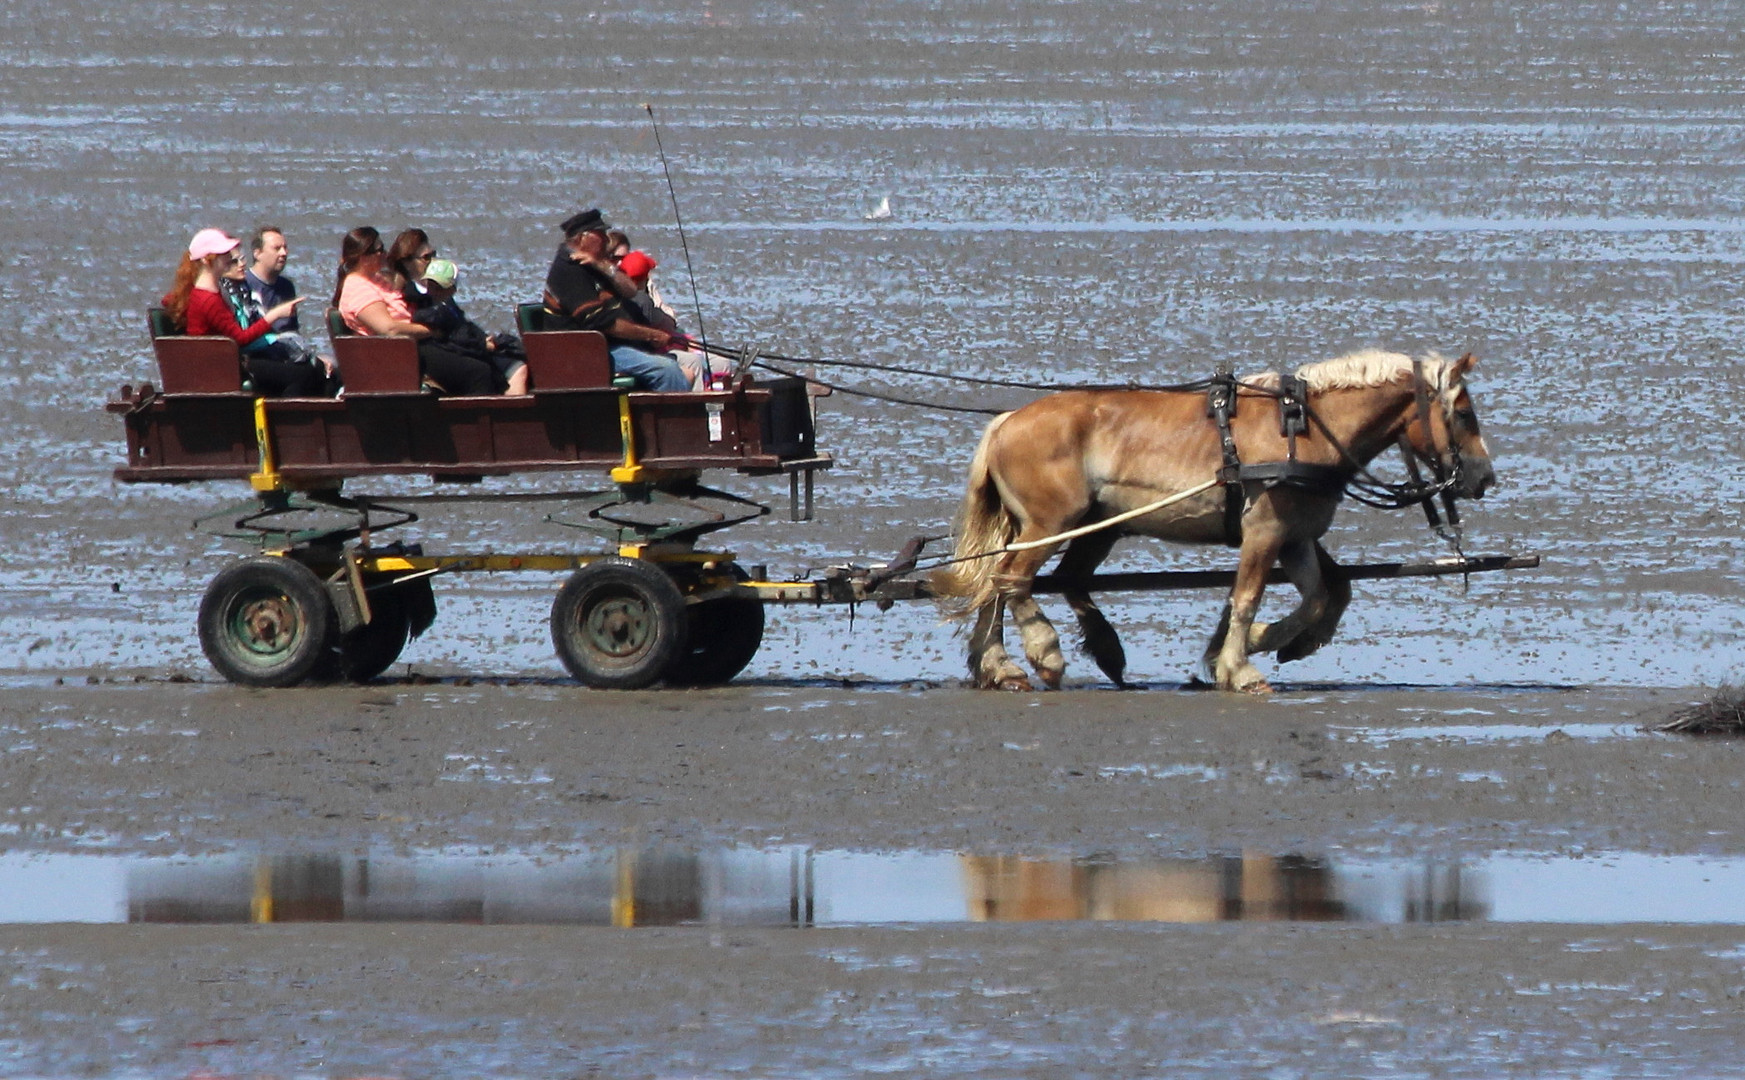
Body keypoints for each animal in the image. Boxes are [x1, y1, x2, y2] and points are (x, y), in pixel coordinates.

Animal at [935, 350, 1493, 697]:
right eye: (1464, 414)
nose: (1484, 477)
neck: (1302, 430)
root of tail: (1006, 422)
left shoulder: (1295, 537)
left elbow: (1317, 596)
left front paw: (1265, 640)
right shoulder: (1265, 531)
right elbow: (1246, 598)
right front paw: (1240, 666)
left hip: (1082, 526)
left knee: (1003, 587)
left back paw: (1008, 665)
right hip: (1052, 522)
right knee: (1011, 580)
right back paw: (1043, 654)